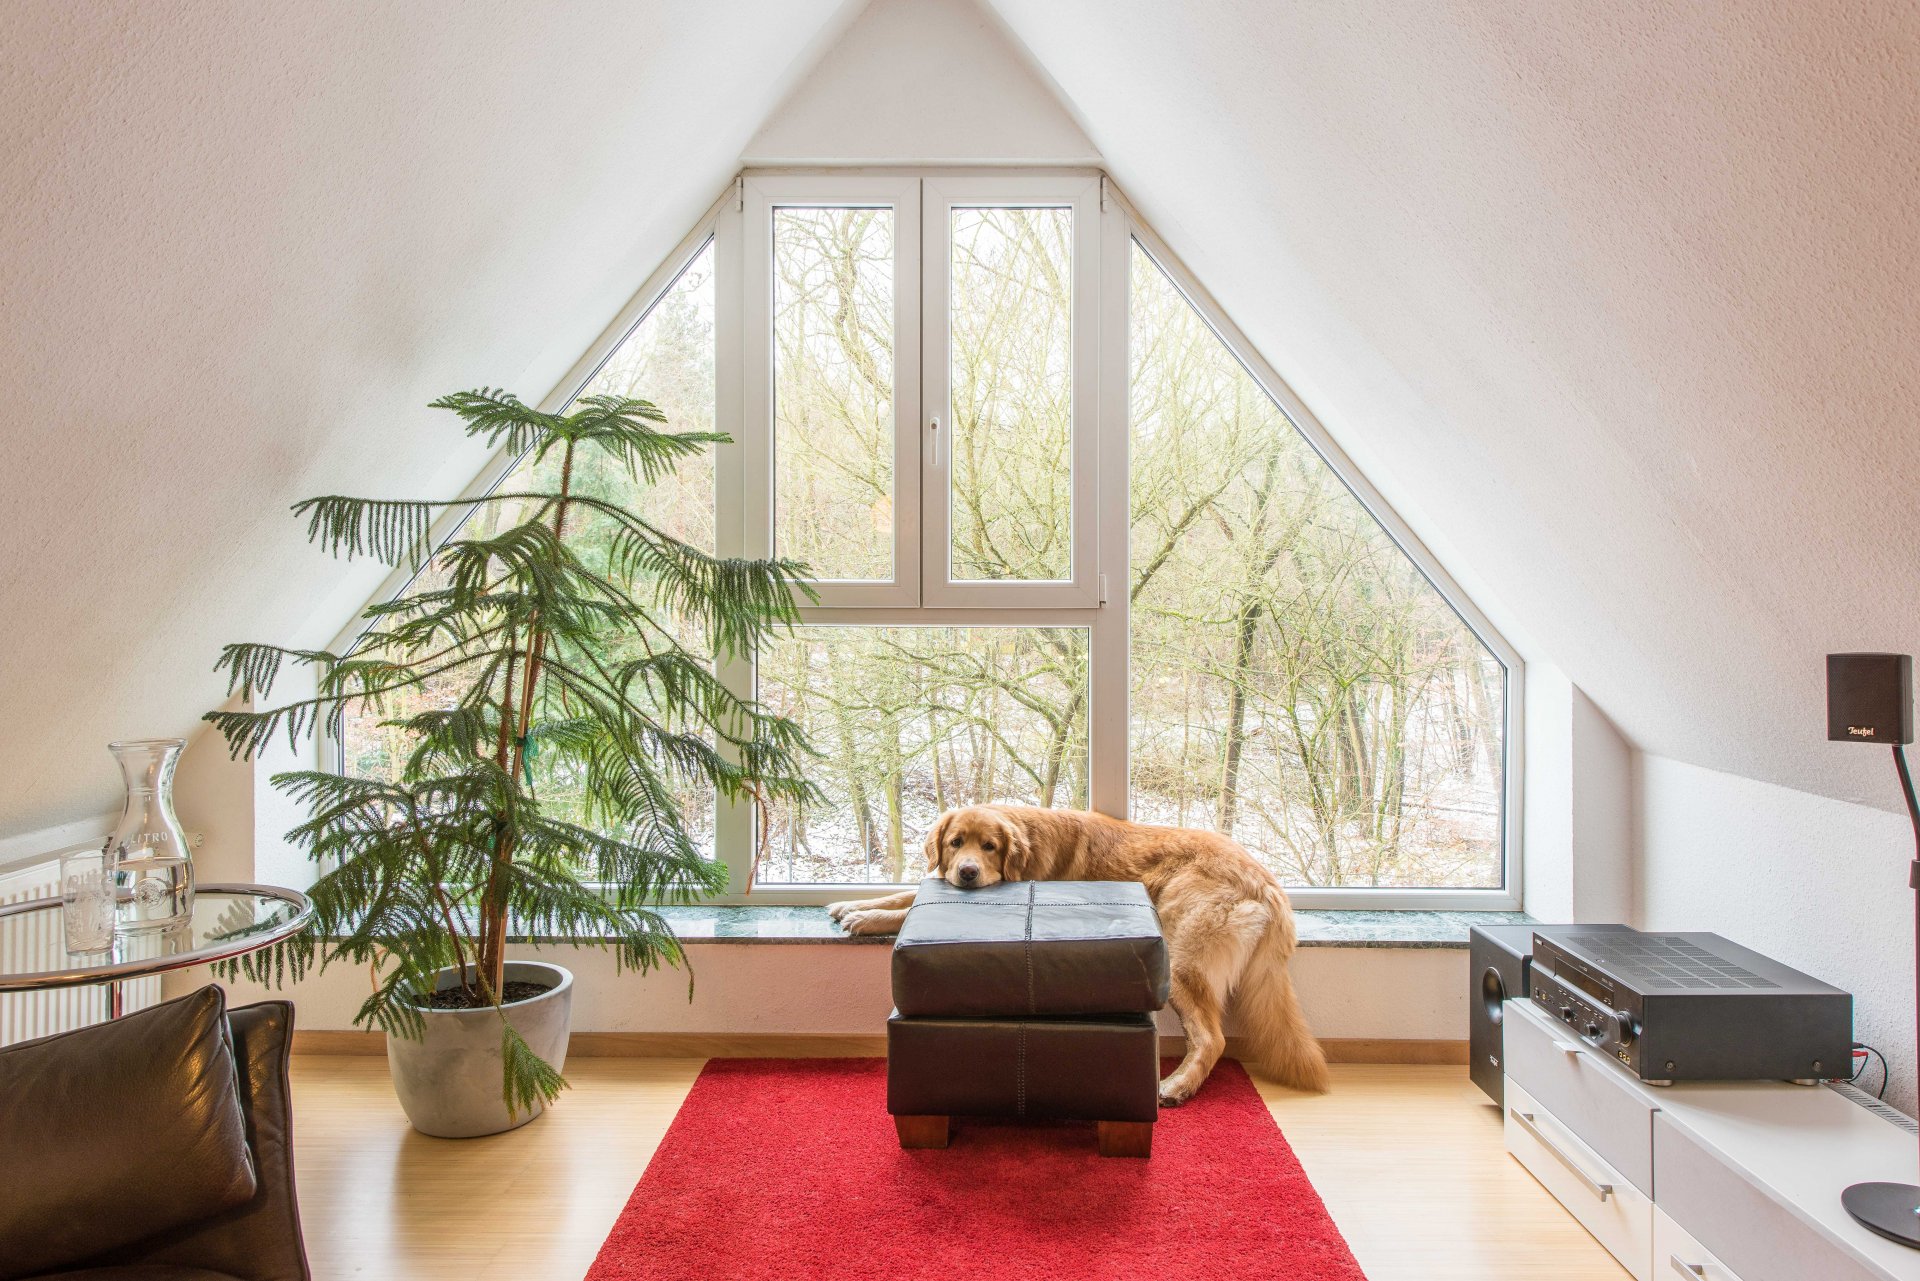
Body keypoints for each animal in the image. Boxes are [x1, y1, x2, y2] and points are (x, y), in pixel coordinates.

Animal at [825, 806, 1336, 1106]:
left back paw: (1176, 1087)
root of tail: (1268, 884)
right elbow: (906, 894)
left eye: (990, 846)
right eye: (956, 843)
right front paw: (851, 904)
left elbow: (906, 906)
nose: (967, 873)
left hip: (1182, 959)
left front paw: (866, 918)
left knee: (1212, 1039)